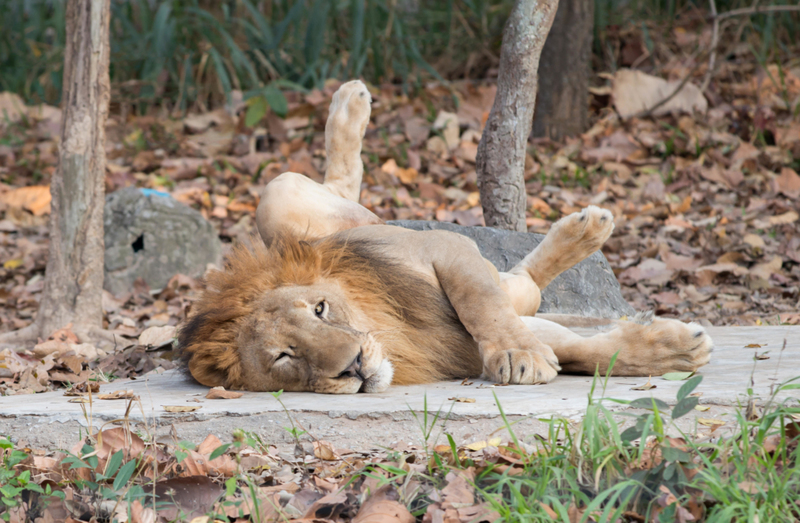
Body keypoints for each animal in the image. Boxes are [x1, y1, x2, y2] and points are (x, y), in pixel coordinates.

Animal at [178, 81, 708, 392]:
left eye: (320, 310)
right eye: (284, 357)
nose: (354, 365)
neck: (388, 330)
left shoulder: (444, 247)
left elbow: (482, 302)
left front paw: (519, 355)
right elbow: (583, 349)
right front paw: (674, 349)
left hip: (282, 195)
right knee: (525, 286)